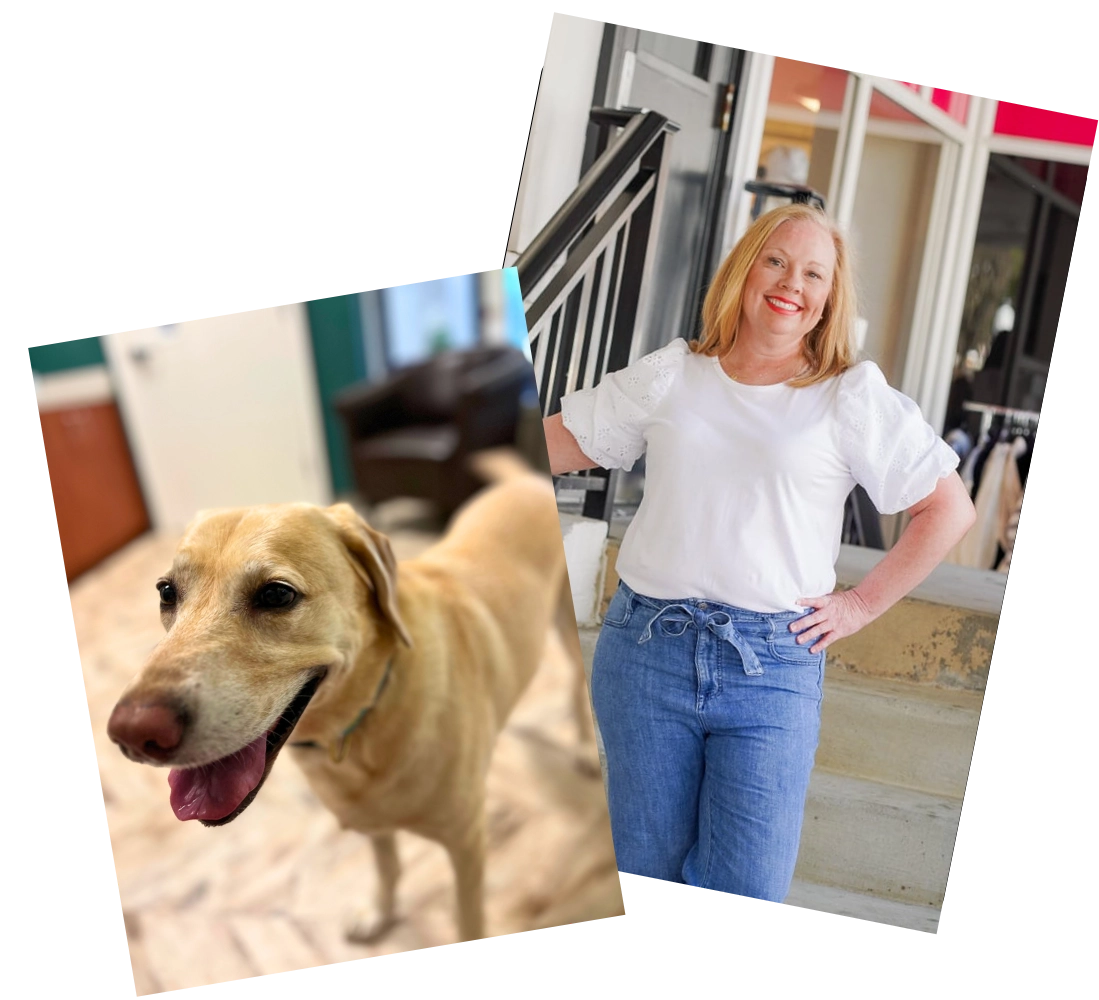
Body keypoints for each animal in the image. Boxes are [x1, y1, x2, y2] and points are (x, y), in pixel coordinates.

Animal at [104, 454, 593, 949]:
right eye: (167, 592)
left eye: (276, 593)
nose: (133, 735)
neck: (364, 718)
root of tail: (527, 481)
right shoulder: (372, 821)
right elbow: (388, 866)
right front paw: (379, 912)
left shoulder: (468, 844)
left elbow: (468, 917)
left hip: (569, 630)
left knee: (580, 683)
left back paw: (588, 748)